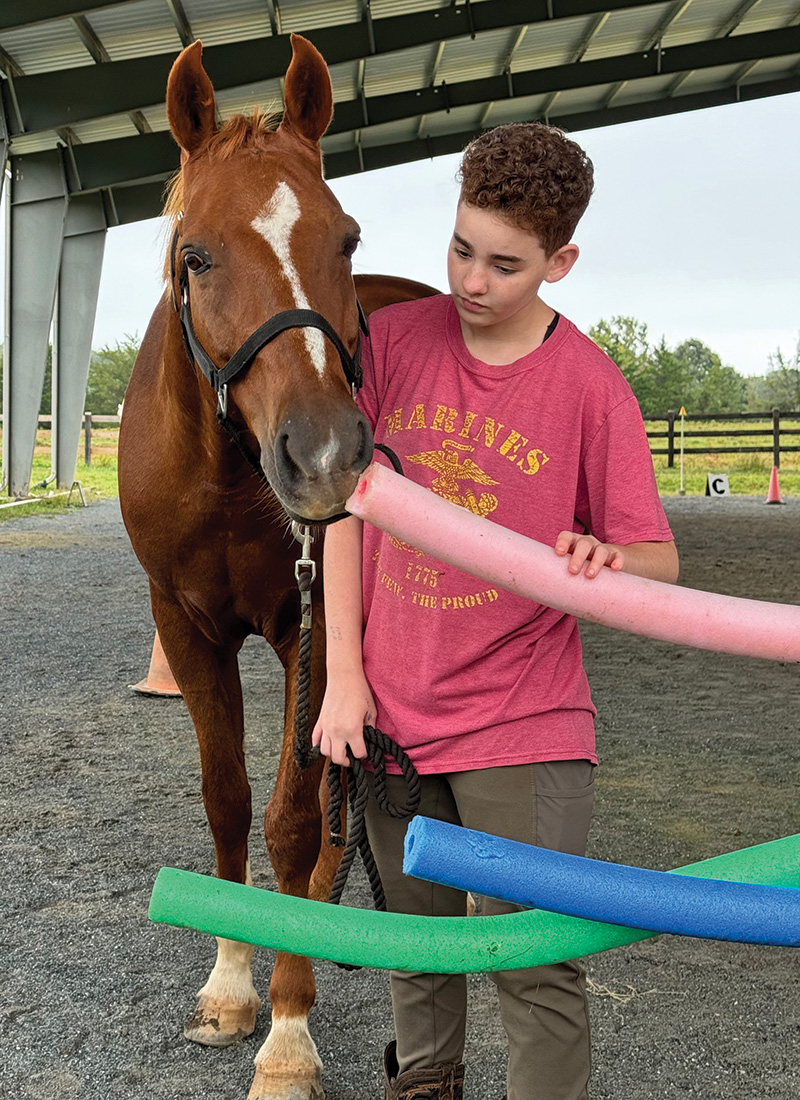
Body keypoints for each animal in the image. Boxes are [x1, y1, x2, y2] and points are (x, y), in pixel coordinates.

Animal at [118, 34, 436, 1100]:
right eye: (195, 254)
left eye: (345, 239)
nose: (327, 455)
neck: (223, 475)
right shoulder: (184, 626)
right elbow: (228, 802)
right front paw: (228, 986)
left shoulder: (312, 627)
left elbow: (295, 822)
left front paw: (288, 1034)